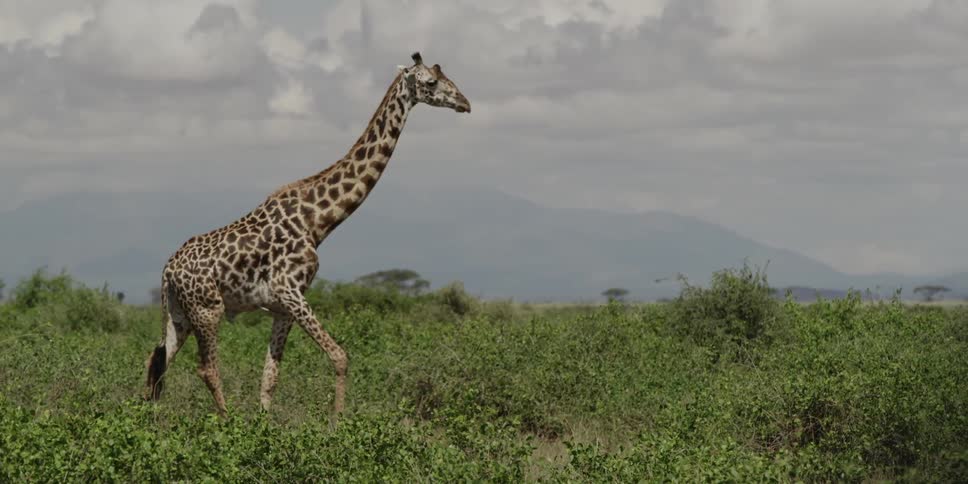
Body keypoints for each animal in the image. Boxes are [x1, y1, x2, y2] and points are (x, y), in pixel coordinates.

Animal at [144, 52, 470, 418]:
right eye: (431, 81)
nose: (465, 103)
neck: (317, 221)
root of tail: (167, 270)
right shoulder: (290, 291)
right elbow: (340, 357)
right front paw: (337, 423)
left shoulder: (282, 307)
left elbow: (269, 377)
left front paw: (265, 425)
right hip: (207, 308)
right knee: (206, 368)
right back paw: (225, 422)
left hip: (179, 313)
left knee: (157, 360)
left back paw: (150, 420)